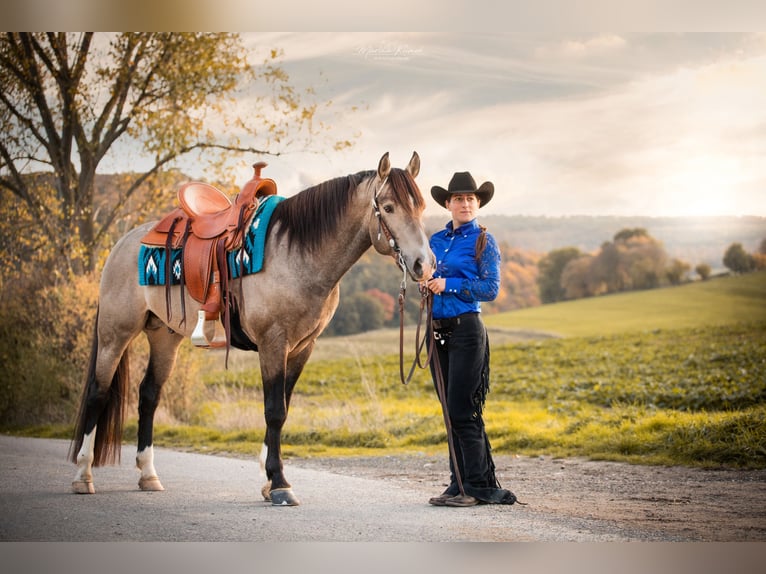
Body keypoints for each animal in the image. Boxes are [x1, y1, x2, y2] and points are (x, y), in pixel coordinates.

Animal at [69, 153, 436, 508]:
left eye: (420, 207)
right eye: (388, 207)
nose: (424, 264)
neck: (297, 253)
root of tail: (122, 243)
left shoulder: (302, 347)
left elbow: (283, 407)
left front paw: (268, 479)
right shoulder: (273, 342)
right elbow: (274, 411)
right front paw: (279, 483)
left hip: (164, 337)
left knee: (148, 396)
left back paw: (148, 474)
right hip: (115, 334)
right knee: (98, 393)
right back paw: (83, 475)